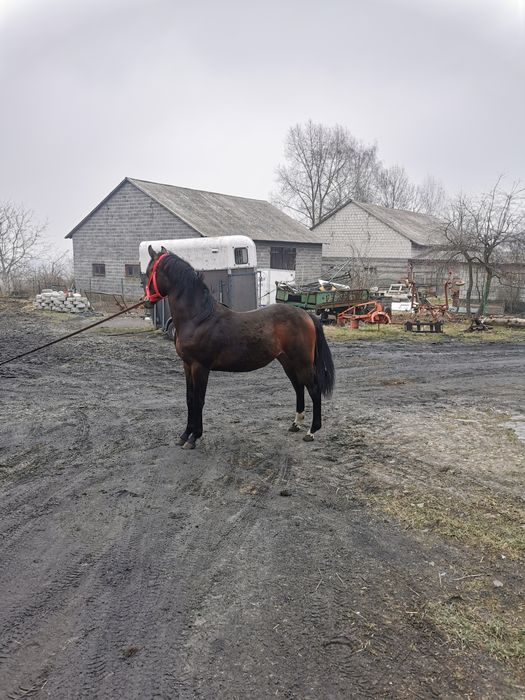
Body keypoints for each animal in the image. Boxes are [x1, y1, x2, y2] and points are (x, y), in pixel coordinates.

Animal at [145, 246, 334, 452]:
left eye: (149, 272)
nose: (146, 302)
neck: (198, 318)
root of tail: (307, 315)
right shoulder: (187, 365)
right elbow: (189, 399)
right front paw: (184, 435)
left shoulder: (200, 367)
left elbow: (199, 400)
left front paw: (194, 437)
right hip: (287, 362)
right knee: (298, 387)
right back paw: (296, 424)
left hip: (303, 362)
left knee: (314, 389)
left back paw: (312, 431)